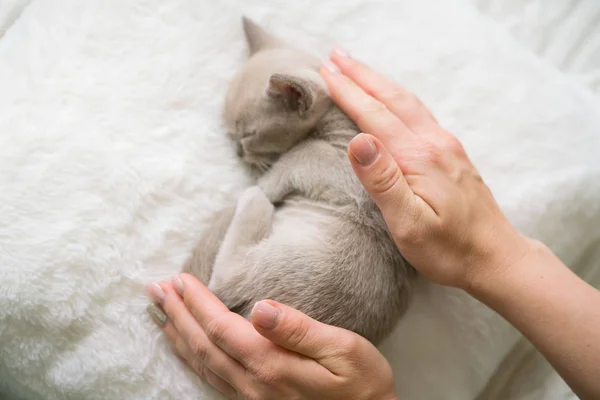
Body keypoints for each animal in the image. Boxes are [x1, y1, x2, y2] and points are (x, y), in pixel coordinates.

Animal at [183, 17, 414, 346]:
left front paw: (260, 181)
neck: (338, 127)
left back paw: (252, 201)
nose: (238, 151)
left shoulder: (315, 161)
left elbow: (282, 171)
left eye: (248, 135)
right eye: (230, 133)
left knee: (224, 281)